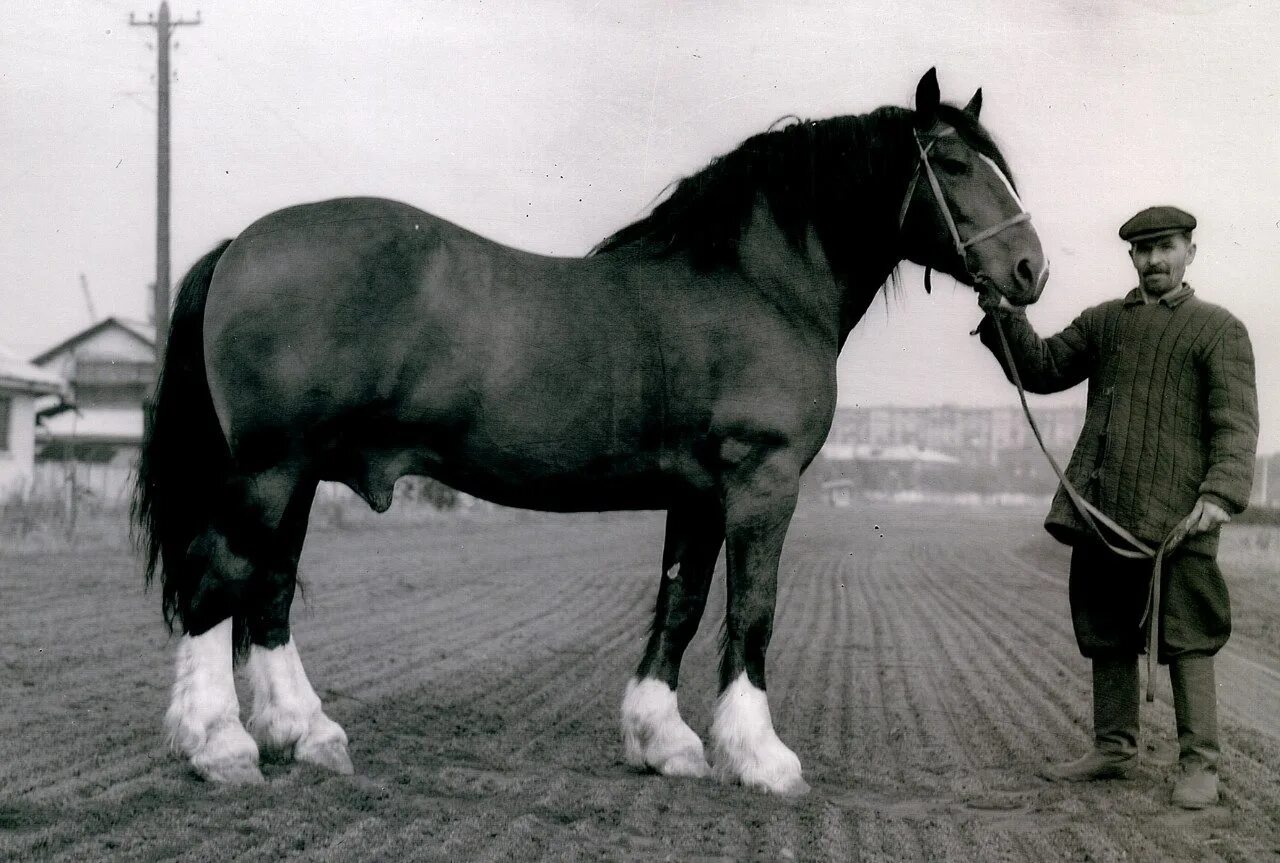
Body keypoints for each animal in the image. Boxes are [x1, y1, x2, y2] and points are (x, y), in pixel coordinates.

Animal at [132, 68, 1049, 793]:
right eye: (955, 163)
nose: (1031, 269)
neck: (753, 283)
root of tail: (241, 246)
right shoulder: (761, 482)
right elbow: (752, 610)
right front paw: (761, 756)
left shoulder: (700, 493)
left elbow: (679, 602)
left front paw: (664, 740)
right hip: (269, 471)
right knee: (220, 583)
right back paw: (221, 747)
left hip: (294, 476)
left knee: (269, 592)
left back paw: (305, 733)